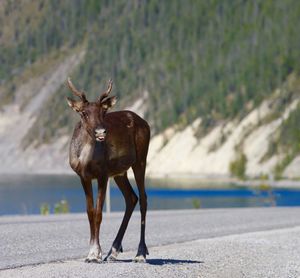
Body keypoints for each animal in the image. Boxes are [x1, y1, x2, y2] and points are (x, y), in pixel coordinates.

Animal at [66, 77, 150, 262]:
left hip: (140, 161)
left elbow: (98, 213)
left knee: (143, 199)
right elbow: (90, 212)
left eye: (103, 112)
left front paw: (95, 253)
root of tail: (146, 123)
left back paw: (140, 252)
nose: (101, 132)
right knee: (131, 197)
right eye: (84, 113)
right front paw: (92, 252)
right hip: (120, 172)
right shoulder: (83, 176)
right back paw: (114, 250)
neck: (86, 159)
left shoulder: (103, 174)